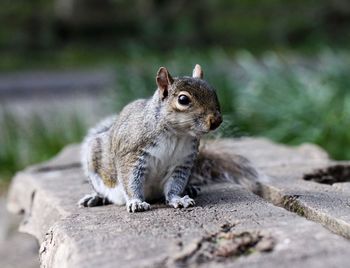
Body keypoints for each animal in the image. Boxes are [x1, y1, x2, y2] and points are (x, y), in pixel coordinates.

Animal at [79, 63, 260, 213]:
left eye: (214, 92)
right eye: (183, 99)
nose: (216, 120)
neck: (176, 134)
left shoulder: (182, 163)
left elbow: (174, 185)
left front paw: (178, 199)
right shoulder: (132, 156)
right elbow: (131, 181)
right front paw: (136, 202)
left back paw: (190, 188)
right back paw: (95, 197)